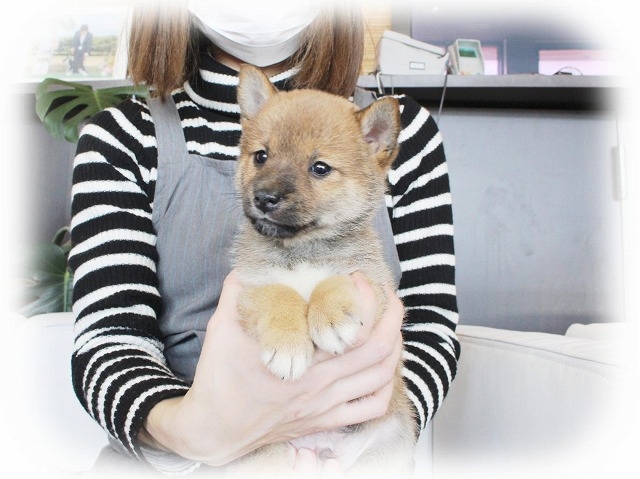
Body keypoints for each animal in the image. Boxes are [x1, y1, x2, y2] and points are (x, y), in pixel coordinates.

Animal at [229, 64, 416, 477]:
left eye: (320, 168)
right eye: (261, 156)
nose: (264, 198)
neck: (303, 251)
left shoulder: (373, 284)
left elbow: (335, 280)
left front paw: (331, 317)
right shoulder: (249, 287)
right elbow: (278, 292)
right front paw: (287, 344)